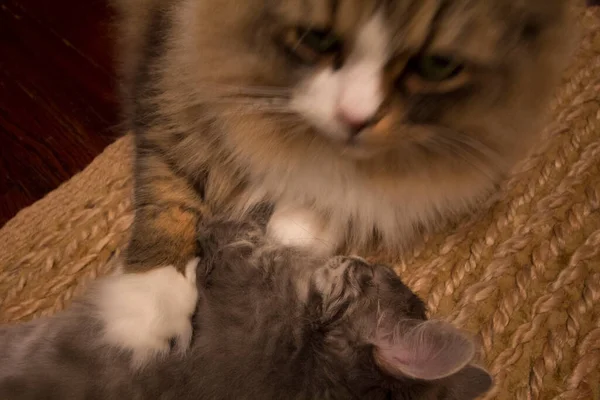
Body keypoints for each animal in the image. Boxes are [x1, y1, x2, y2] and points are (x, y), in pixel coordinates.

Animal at [103, 0, 576, 366]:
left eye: (438, 65)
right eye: (315, 37)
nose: (356, 118)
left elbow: (331, 198)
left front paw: (294, 227)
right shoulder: (174, 87)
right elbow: (167, 199)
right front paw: (148, 314)